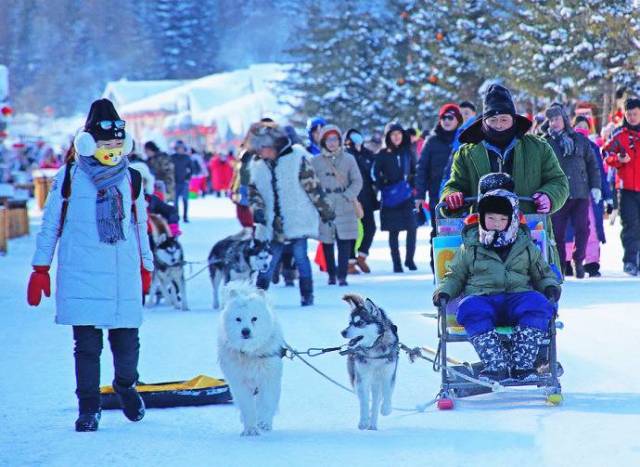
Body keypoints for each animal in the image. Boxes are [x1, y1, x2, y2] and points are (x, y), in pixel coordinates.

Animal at [218, 282, 282, 438]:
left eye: (254, 318)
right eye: (238, 319)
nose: (245, 331)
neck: (250, 353)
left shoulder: (269, 378)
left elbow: (266, 402)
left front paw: (264, 423)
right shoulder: (239, 382)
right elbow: (247, 406)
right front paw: (250, 429)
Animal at [342, 294, 398, 430]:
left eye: (359, 323)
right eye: (350, 323)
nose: (343, 332)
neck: (374, 348)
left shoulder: (389, 374)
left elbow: (387, 393)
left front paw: (386, 409)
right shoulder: (361, 378)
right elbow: (364, 402)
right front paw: (363, 421)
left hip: (377, 382)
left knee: (377, 400)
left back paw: (373, 423)